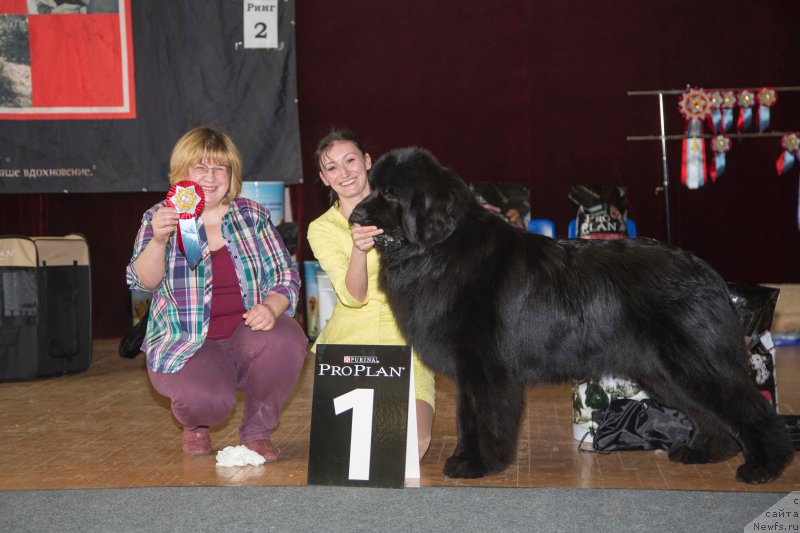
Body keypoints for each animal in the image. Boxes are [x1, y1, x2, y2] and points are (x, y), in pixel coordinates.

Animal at [352, 145, 792, 482]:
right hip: (665, 372)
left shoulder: (483, 368)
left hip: (695, 361)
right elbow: (473, 417)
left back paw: (765, 466)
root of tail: (708, 272)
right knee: (711, 415)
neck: (439, 250)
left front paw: (474, 464)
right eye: (371, 186)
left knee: (752, 409)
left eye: (390, 193)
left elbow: (480, 417)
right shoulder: (474, 371)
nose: (354, 214)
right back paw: (704, 452)